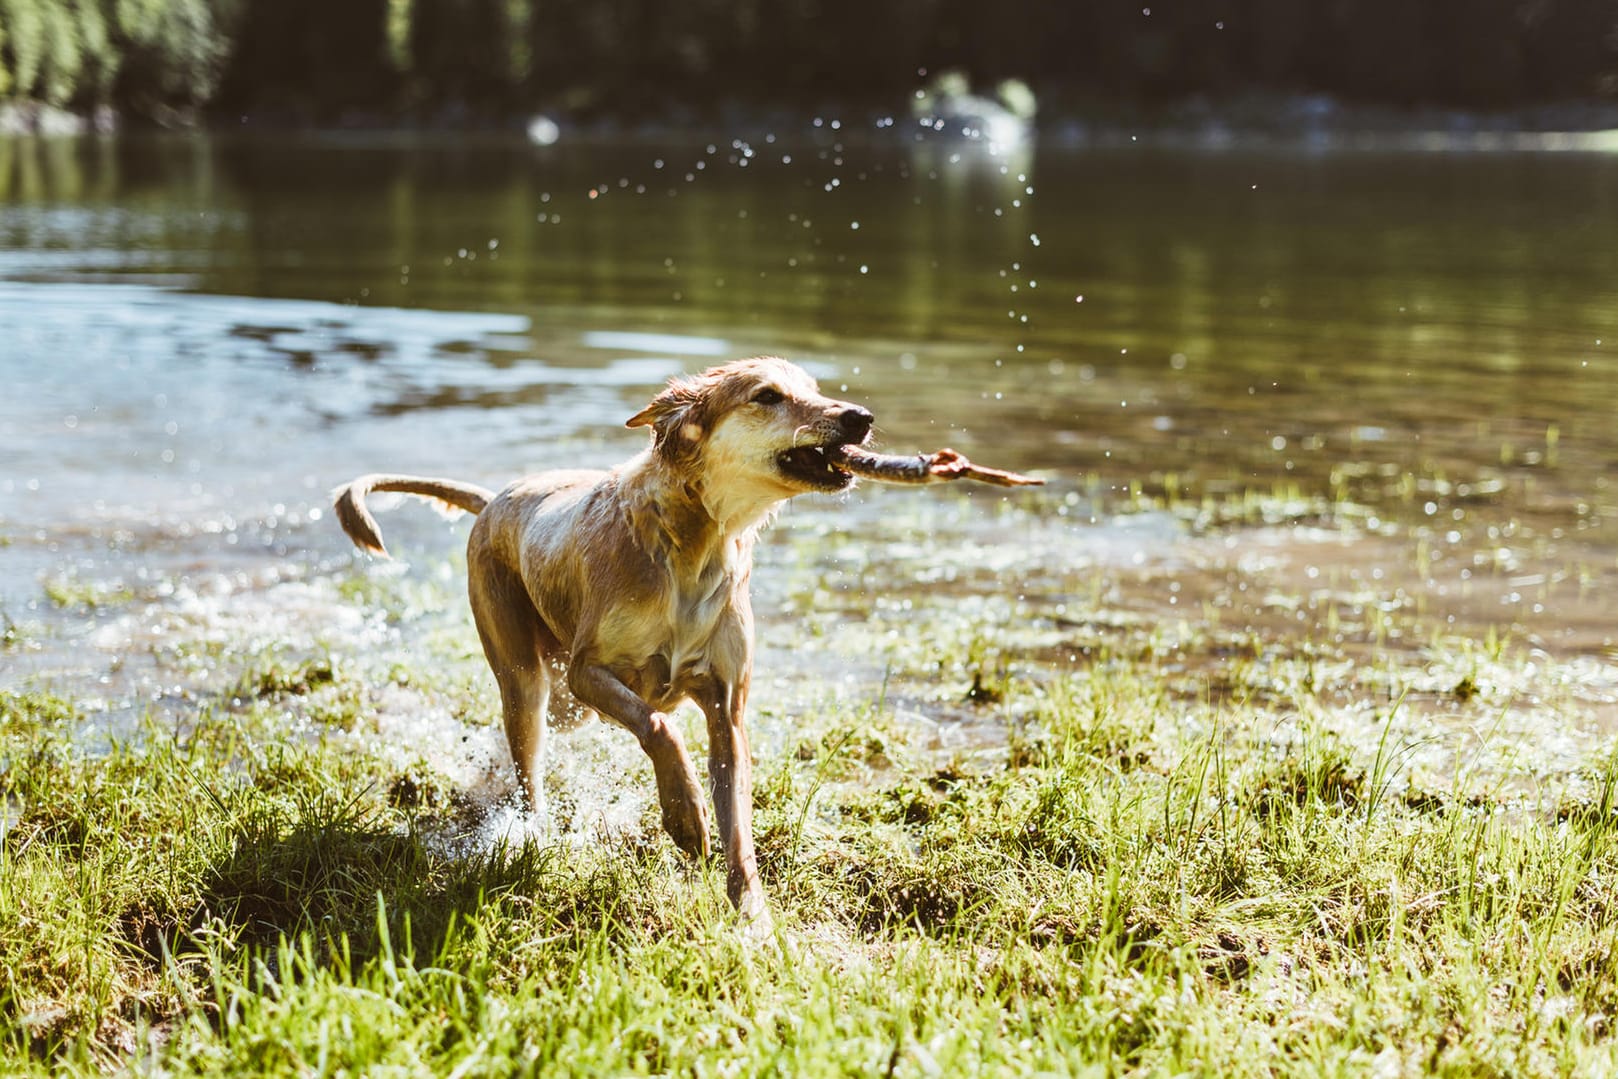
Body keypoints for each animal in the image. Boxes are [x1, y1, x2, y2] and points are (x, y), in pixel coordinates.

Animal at [331, 359, 873, 925]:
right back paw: (532, 833)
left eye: (814, 389)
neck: (692, 550)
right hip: (527, 679)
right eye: (767, 396)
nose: (861, 418)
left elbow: (739, 825)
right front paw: (685, 814)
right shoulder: (588, 671)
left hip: (570, 708)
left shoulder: (728, 712)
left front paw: (752, 915)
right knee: (528, 764)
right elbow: (659, 726)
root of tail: (495, 498)